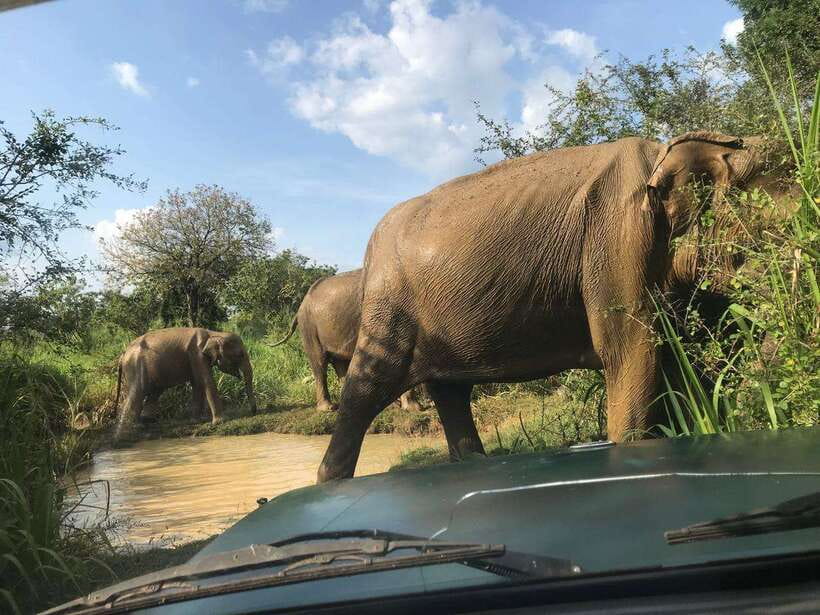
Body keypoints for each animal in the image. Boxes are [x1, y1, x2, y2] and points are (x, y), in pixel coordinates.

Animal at [112, 327, 257, 443]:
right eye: (240, 355)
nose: (254, 412)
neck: (214, 333)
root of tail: (122, 355)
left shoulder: (196, 359)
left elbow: (197, 383)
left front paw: (197, 421)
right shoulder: (197, 355)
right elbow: (206, 381)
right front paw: (220, 421)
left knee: (154, 393)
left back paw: (146, 425)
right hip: (135, 367)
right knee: (136, 396)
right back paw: (123, 436)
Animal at [271, 269, 424, 413]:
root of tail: (302, 304)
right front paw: (413, 408)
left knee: (340, 363)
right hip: (309, 327)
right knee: (320, 363)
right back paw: (329, 408)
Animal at [317, 131, 772, 482]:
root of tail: (369, 248)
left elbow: (672, 357)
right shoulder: (618, 241)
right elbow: (631, 351)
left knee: (450, 391)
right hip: (389, 306)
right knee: (369, 385)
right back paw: (330, 483)